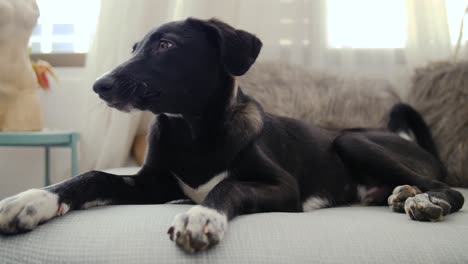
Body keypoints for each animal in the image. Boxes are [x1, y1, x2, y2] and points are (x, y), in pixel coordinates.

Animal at [0, 17, 462, 253]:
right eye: (134, 47)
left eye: (166, 45)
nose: (100, 85)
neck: (191, 131)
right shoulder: (151, 184)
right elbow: (92, 176)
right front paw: (32, 200)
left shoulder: (283, 188)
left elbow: (230, 186)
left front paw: (201, 216)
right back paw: (402, 195)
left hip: (351, 140)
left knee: (449, 190)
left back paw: (424, 201)